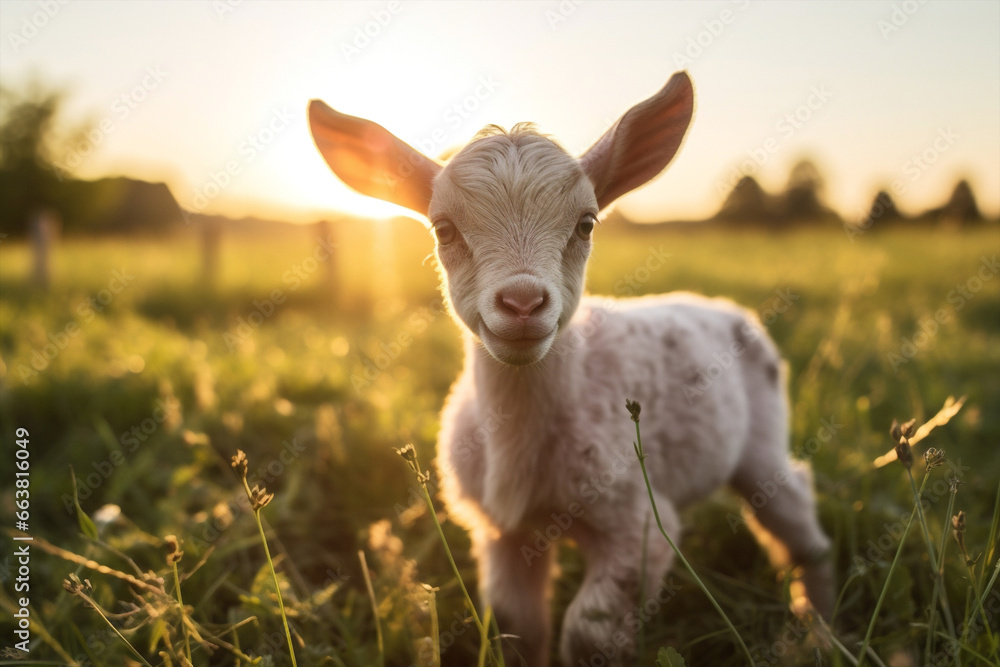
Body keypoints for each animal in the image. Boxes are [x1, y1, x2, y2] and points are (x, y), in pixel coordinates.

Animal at [308, 71, 832, 666]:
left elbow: (589, 632)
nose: (522, 303)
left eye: (586, 224)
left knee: (795, 513)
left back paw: (821, 629)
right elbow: (516, 626)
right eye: (443, 229)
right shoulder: (500, 532)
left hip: (762, 443)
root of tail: (724, 307)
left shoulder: (636, 524)